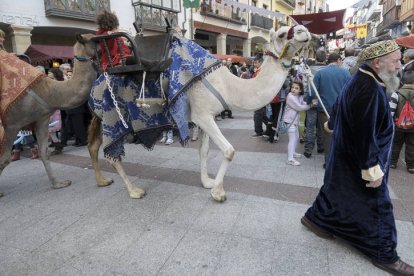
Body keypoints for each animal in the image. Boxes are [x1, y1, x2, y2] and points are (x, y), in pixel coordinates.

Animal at [0, 34, 97, 198]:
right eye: (95, 39)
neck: (48, 91)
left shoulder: (42, 119)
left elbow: (44, 152)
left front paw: (58, 183)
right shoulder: (12, 124)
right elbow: (5, 159)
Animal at [87, 25, 310, 203]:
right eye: (282, 34)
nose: (304, 31)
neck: (228, 86)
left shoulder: (204, 116)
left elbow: (204, 151)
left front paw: (207, 182)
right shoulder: (203, 116)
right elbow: (228, 150)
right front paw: (218, 192)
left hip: (100, 118)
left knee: (94, 146)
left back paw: (102, 180)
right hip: (113, 118)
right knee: (112, 154)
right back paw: (134, 190)